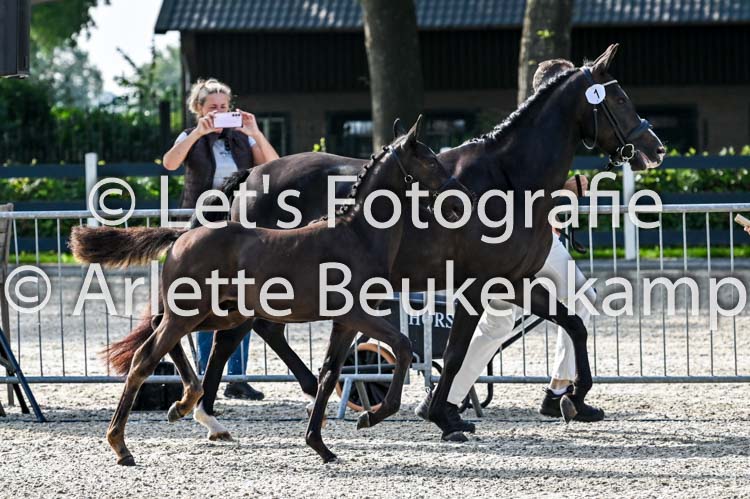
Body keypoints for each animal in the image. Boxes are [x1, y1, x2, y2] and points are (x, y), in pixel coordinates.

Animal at [70, 116, 474, 464]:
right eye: (431, 161)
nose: (460, 201)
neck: (357, 235)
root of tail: (182, 235)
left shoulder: (345, 322)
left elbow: (329, 373)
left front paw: (320, 445)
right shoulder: (358, 314)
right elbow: (403, 348)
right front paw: (370, 417)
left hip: (219, 313)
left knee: (165, 334)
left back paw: (184, 403)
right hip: (193, 312)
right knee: (145, 357)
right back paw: (122, 444)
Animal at [189, 44, 666, 440]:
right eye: (619, 99)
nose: (656, 148)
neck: (508, 179)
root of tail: (252, 176)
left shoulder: (513, 281)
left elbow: (573, 324)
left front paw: (574, 398)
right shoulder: (477, 285)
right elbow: (454, 354)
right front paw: (441, 416)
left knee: (252, 333)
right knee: (231, 339)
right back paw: (216, 409)